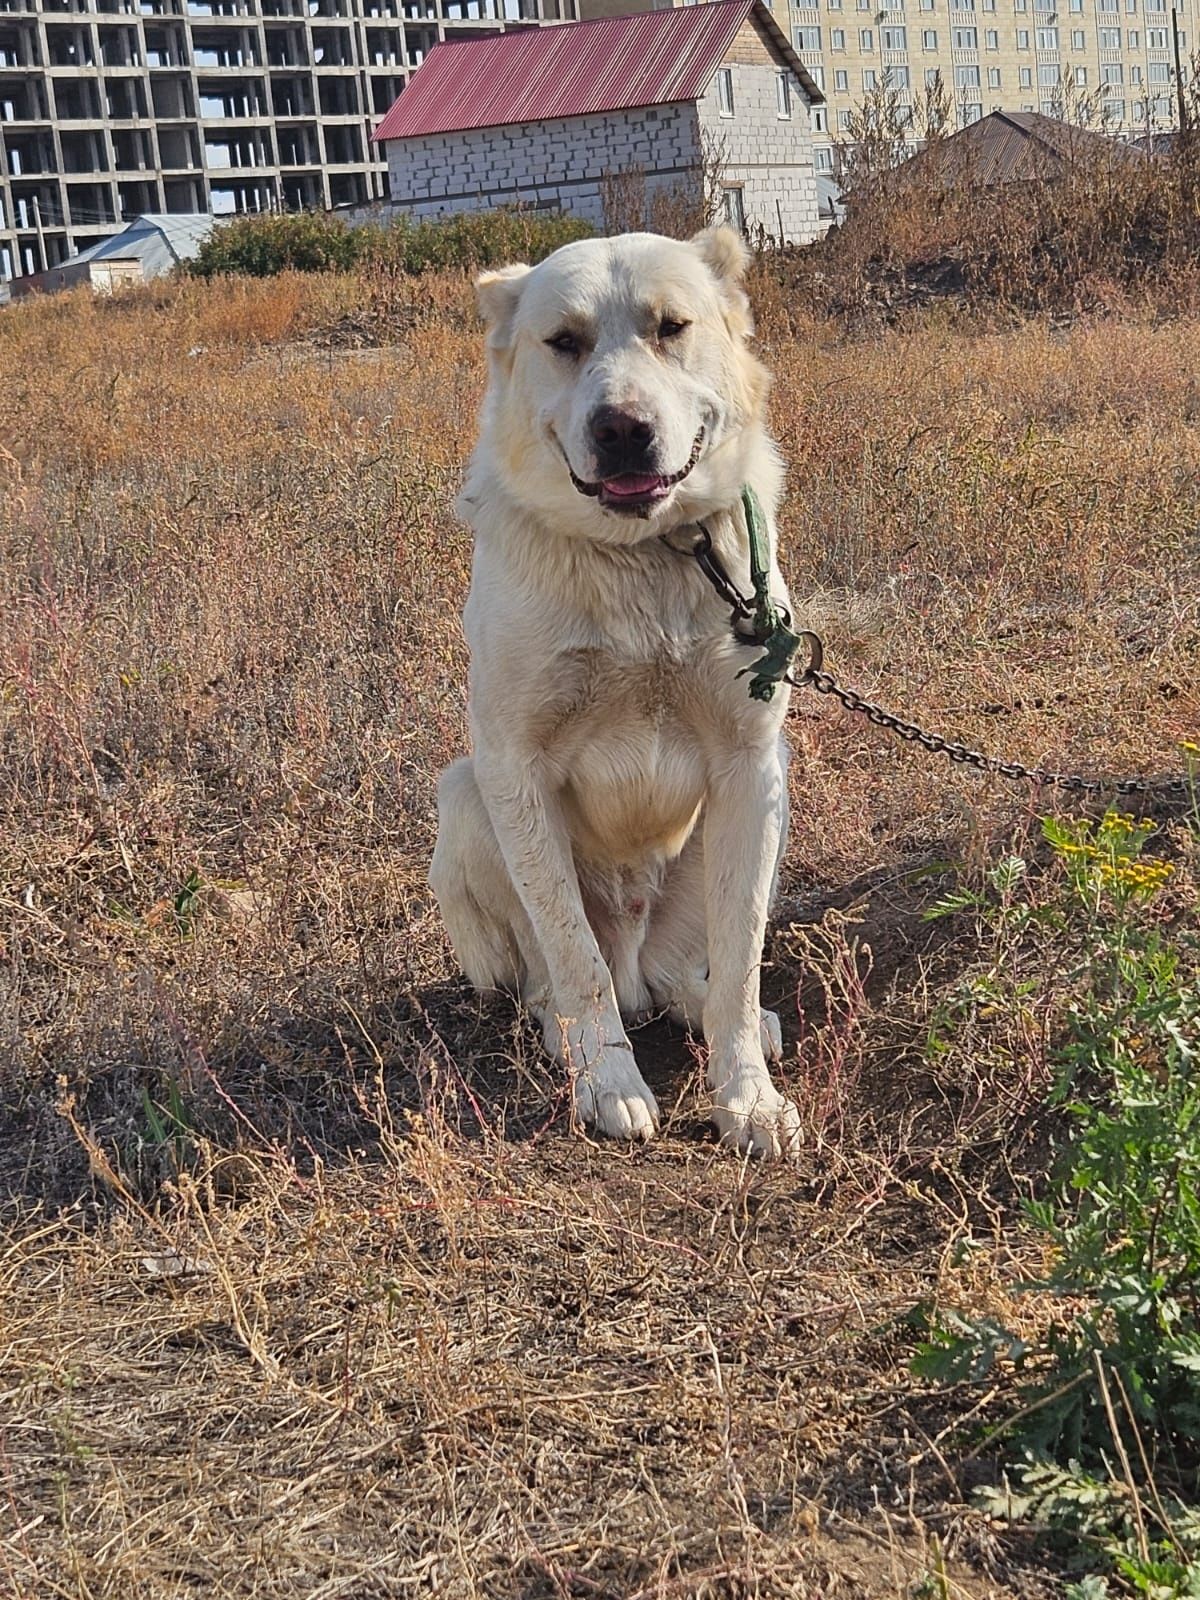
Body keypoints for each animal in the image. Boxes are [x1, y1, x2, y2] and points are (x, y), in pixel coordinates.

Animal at [428, 225, 803, 1158]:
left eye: (672, 327)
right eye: (563, 341)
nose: (623, 430)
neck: (644, 558)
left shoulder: (750, 761)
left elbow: (741, 958)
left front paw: (748, 1096)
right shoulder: (514, 768)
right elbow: (574, 959)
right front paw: (608, 1082)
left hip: (767, 804)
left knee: (686, 976)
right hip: (464, 796)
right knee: (561, 982)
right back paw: (568, 1035)